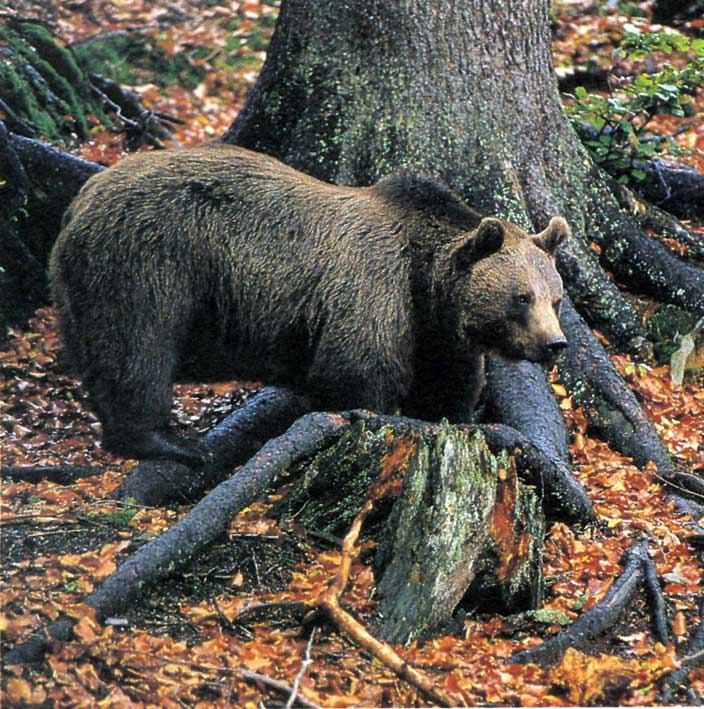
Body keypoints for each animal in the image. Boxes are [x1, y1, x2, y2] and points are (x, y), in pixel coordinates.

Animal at [49, 145, 568, 464]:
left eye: (556, 298)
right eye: (521, 297)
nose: (555, 344)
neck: (425, 281)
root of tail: (81, 200)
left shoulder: (433, 331)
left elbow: (446, 384)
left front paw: (450, 414)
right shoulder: (374, 289)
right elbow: (356, 372)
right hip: (147, 259)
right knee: (138, 345)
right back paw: (174, 443)